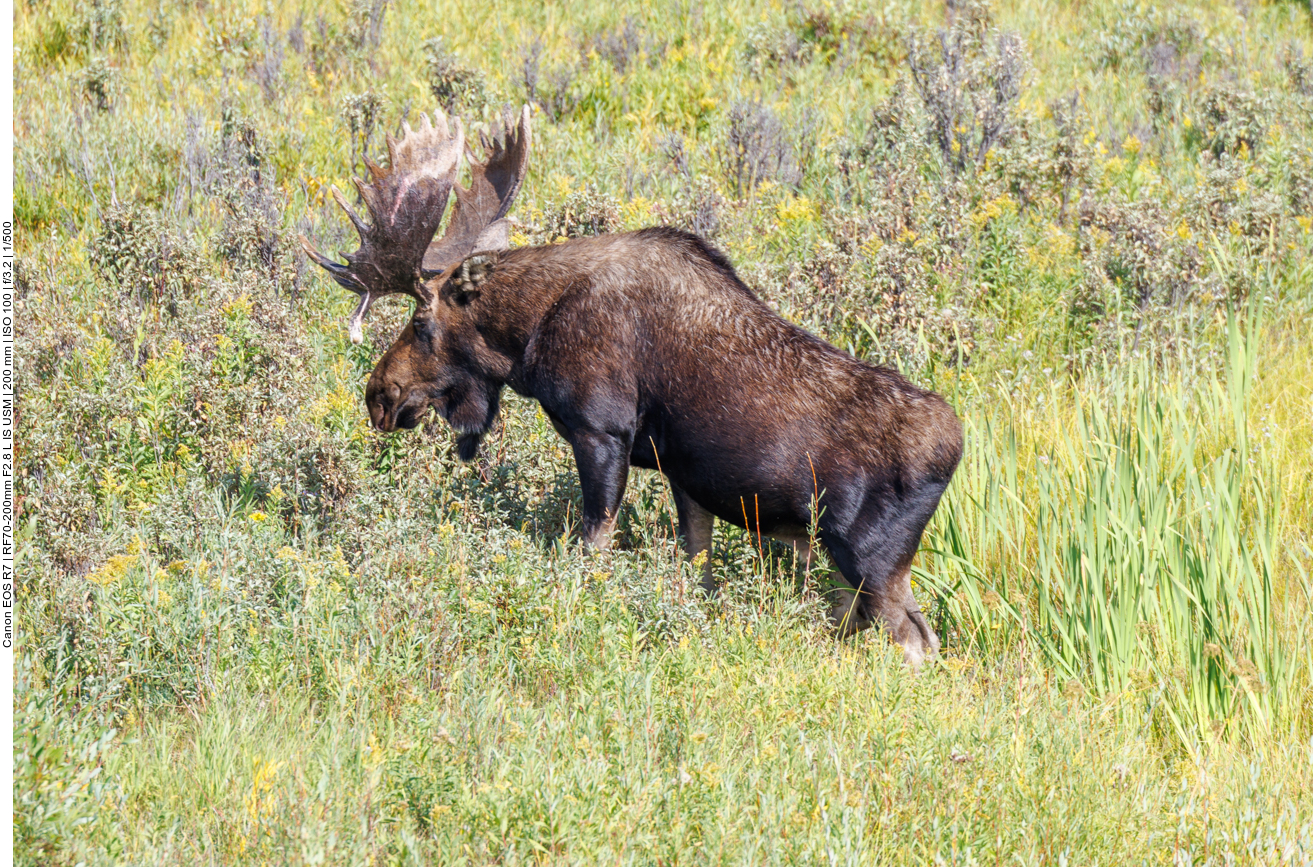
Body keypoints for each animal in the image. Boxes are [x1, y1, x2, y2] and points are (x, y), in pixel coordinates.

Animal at [304, 106, 966, 664]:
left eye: (420, 324)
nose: (378, 395)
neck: (531, 333)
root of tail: (954, 449)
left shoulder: (601, 430)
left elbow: (591, 545)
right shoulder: (686, 477)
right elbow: (692, 566)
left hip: (869, 556)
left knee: (918, 640)